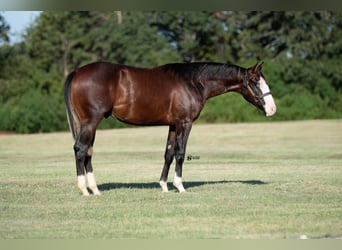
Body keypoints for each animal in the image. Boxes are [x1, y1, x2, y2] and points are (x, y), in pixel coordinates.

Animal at [64, 60, 276, 195]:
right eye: (256, 82)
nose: (272, 108)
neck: (193, 82)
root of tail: (77, 72)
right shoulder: (185, 123)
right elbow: (180, 153)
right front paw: (179, 186)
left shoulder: (173, 125)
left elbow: (168, 153)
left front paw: (164, 186)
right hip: (91, 122)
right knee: (81, 149)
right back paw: (84, 190)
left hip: (89, 124)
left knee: (88, 151)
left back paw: (95, 189)